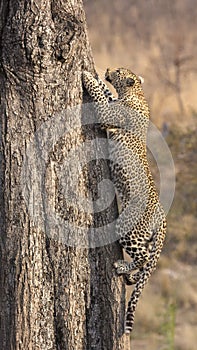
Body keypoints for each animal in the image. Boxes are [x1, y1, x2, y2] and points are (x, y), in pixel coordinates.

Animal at [81, 67, 166, 334]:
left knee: (145, 258)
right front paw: (97, 76)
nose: (109, 69)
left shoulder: (108, 114)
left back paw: (122, 268)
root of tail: (162, 216)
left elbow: (99, 97)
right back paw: (131, 277)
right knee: (147, 262)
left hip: (129, 230)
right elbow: (106, 93)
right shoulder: (113, 102)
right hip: (144, 237)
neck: (136, 92)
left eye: (119, 71)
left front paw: (87, 76)